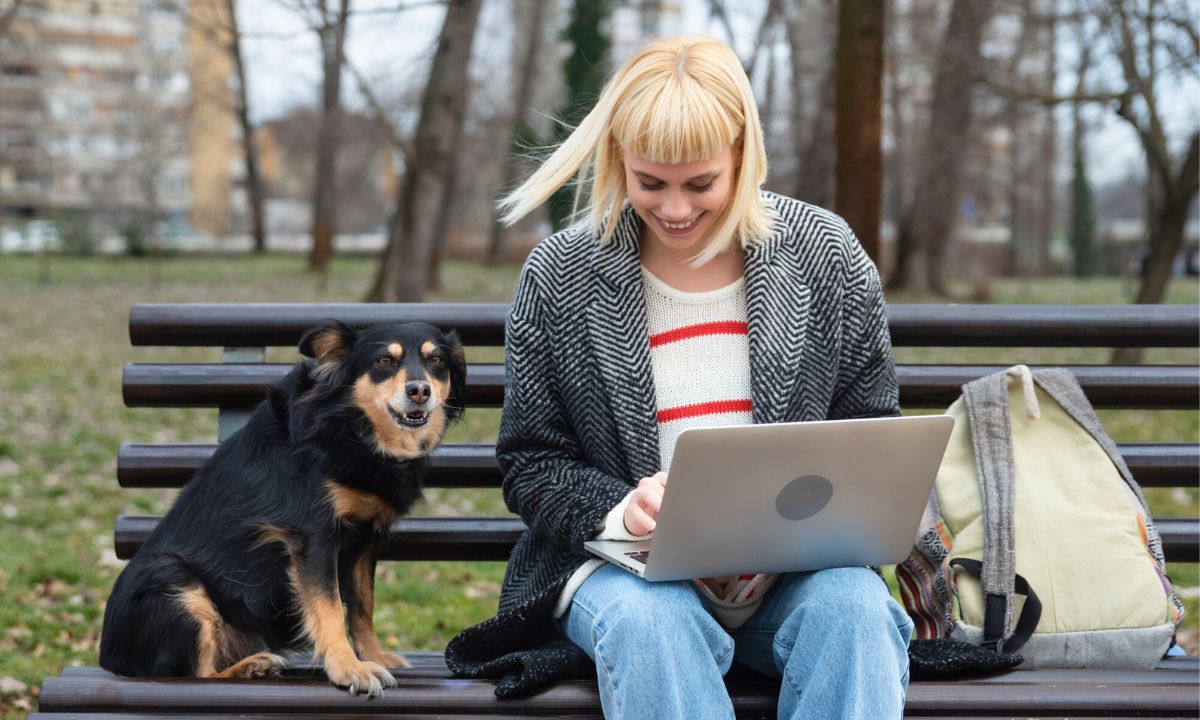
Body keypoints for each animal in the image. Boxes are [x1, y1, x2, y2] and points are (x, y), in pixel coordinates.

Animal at [98, 321, 465, 696]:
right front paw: (349, 668)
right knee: (196, 673)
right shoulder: (314, 536)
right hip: (170, 579)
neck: (351, 426)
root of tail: (108, 657)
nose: (419, 391)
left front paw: (374, 655)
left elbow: (363, 605)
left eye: (436, 361)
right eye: (384, 361)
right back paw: (251, 667)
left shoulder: (365, 541)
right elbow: (331, 607)